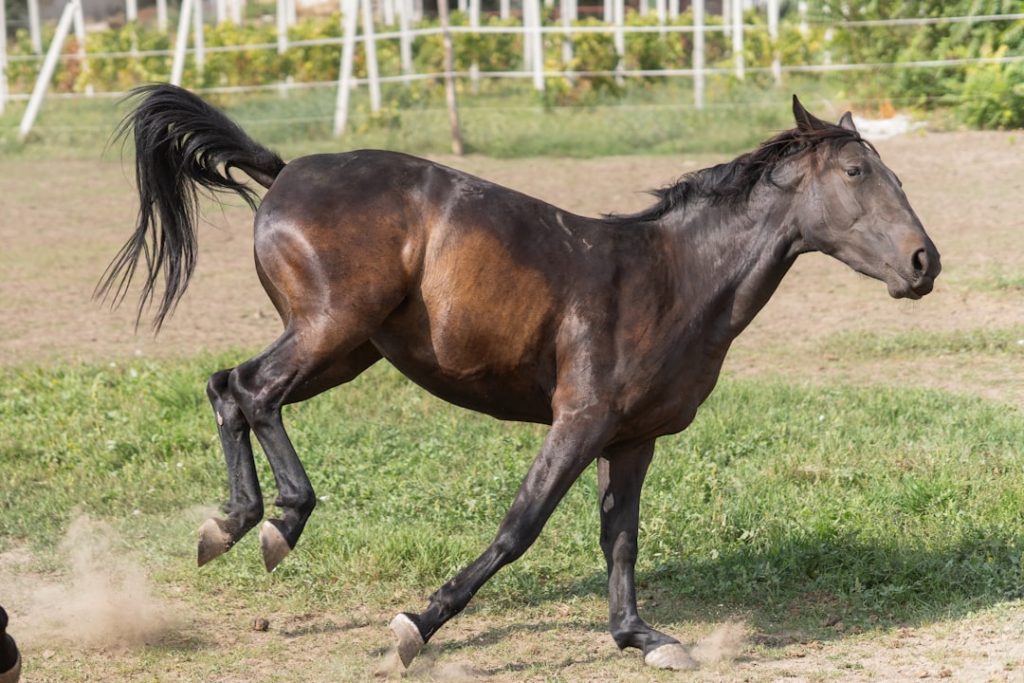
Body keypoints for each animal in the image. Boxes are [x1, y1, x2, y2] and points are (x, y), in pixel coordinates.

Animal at [103, 86, 940, 671]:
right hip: (329, 330)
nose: (923, 263)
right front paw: (417, 625)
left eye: (897, 172)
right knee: (252, 392)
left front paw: (641, 636)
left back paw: (234, 523)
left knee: (228, 388)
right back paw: (277, 520)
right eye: (858, 171)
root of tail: (285, 172)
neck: (673, 278)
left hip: (347, 350)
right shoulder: (579, 420)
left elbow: (621, 539)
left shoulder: (631, 439)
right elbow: (520, 526)